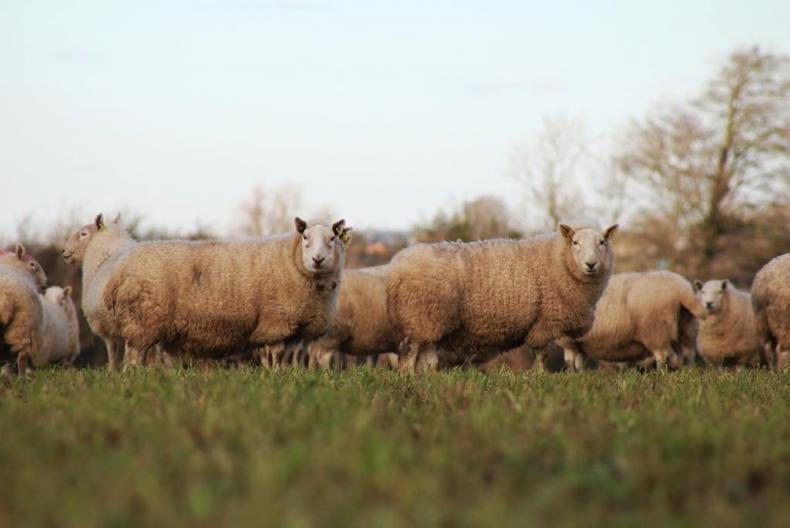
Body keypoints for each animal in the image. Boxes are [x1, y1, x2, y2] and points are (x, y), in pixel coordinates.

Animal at [0, 244, 47, 374]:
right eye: (32, 264)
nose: (46, 283)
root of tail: (5, 295)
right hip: (24, 327)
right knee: (22, 356)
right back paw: (21, 375)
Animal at [64, 214, 352, 366]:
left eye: (332, 239)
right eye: (306, 238)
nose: (317, 259)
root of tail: (120, 266)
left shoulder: (295, 329)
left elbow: (290, 358)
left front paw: (286, 376)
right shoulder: (275, 324)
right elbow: (275, 356)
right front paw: (273, 377)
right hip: (142, 322)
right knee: (134, 357)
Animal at [386, 222, 618, 370]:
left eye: (602, 242)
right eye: (575, 242)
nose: (591, 264)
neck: (558, 260)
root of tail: (396, 266)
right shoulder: (545, 323)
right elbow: (541, 355)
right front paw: (539, 376)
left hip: (428, 322)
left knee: (426, 359)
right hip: (420, 316)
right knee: (408, 358)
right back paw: (408, 379)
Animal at [557, 270, 707, 370]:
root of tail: (682, 289)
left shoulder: (568, 340)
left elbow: (570, 361)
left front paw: (571, 375)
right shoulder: (578, 342)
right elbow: (578, 362)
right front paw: (579, 374)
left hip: (655, 330)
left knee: (662, 356)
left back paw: (660, 374)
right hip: (686, 328)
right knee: (687, 356)